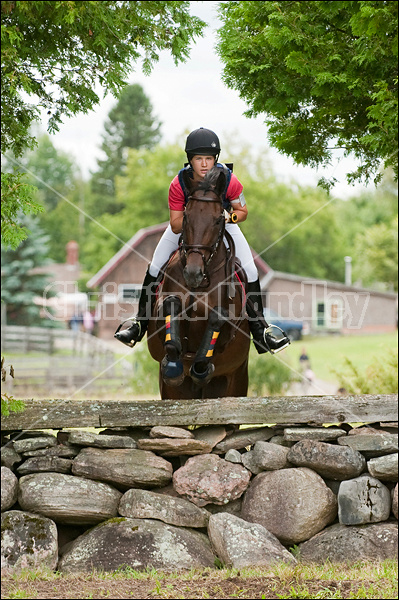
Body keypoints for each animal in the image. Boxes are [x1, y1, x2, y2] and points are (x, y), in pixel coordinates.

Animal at [148, 166, 252, 400]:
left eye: (217, 220)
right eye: (186, 217)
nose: (193, 274)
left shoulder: (231, 326)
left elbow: (218, 317)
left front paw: (201, 367)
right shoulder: (159, 314)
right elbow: (171, 306)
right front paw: (173, 366)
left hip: (234, 381)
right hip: (173, 393)